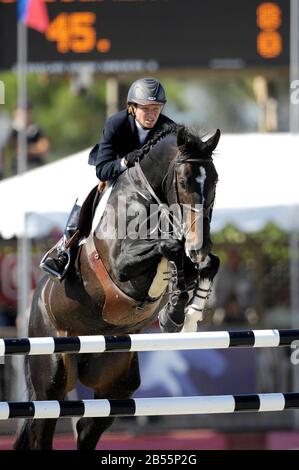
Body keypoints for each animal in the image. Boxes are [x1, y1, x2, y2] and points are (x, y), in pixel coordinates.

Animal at [14, 126, 220, 452]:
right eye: (184, 181)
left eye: (214, 180)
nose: (199, 245)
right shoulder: (122, 266)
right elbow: (169, 247)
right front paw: (175, 312)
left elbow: (207, 264)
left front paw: (187, 315)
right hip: (51, 377)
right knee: (42, 428)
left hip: (117, 383)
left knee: (87, 427)